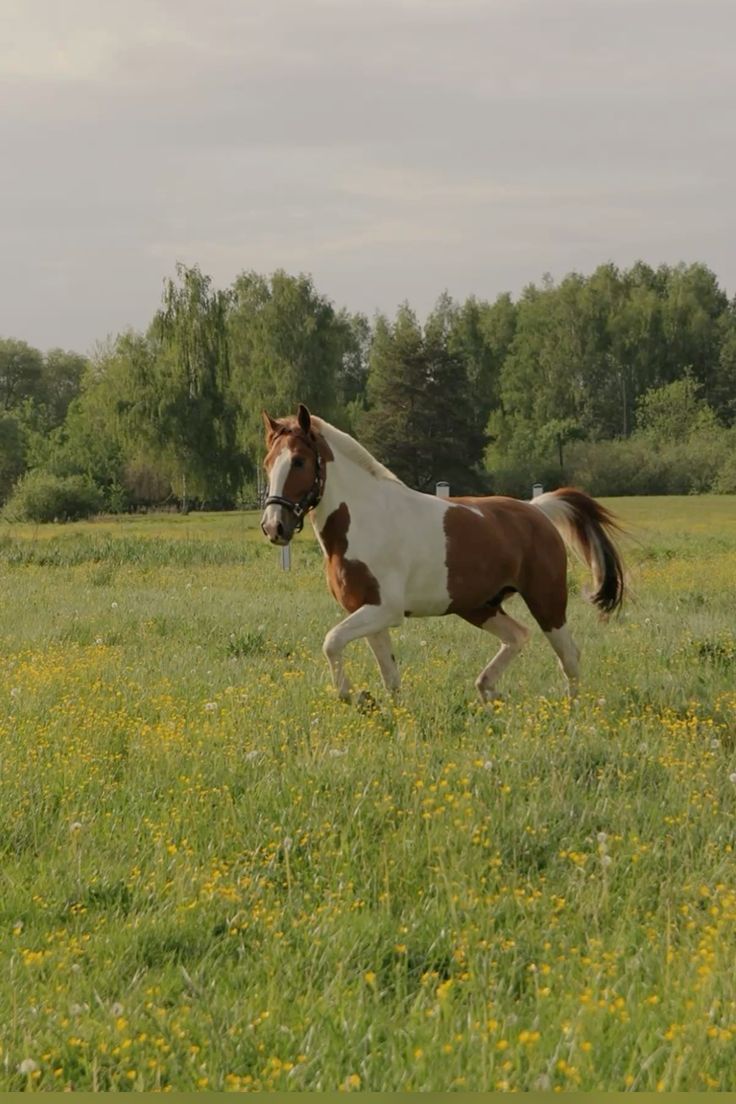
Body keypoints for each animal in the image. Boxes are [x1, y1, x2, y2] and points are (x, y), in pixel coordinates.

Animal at [260, 404, 625, 703]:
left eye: (299, 461)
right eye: (268, 464)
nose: (273, 526)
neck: (364, 520)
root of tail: (536, 509)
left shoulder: (384, 610)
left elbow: (331, 641)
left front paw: (354, 696)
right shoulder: (366, 613)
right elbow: (390, 677)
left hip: (546, 601)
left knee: (569, 656)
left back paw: (569, 709)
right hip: (479, 606)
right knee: (519, 636)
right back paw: (489, 691)